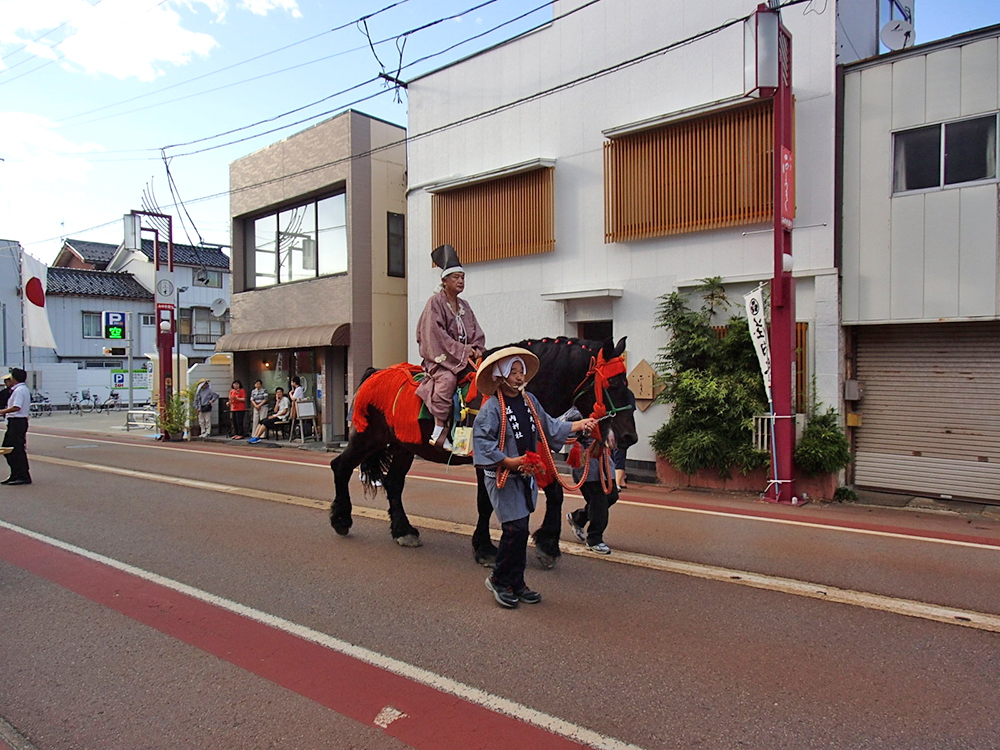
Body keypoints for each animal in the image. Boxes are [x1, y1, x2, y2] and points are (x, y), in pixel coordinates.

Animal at [332, 338, 636, 568]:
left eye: (627, 384)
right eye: (614, 384)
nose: (628, 437)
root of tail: (375, 373)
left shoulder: (535, 451)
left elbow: (555, 494)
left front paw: (548, 544)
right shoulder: (487, 458)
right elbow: (485, 503)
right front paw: (485, 548)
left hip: (404, 446)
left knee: (394, 484)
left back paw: (403, 531)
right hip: (369, 437)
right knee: (341, 466)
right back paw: (341, 519)